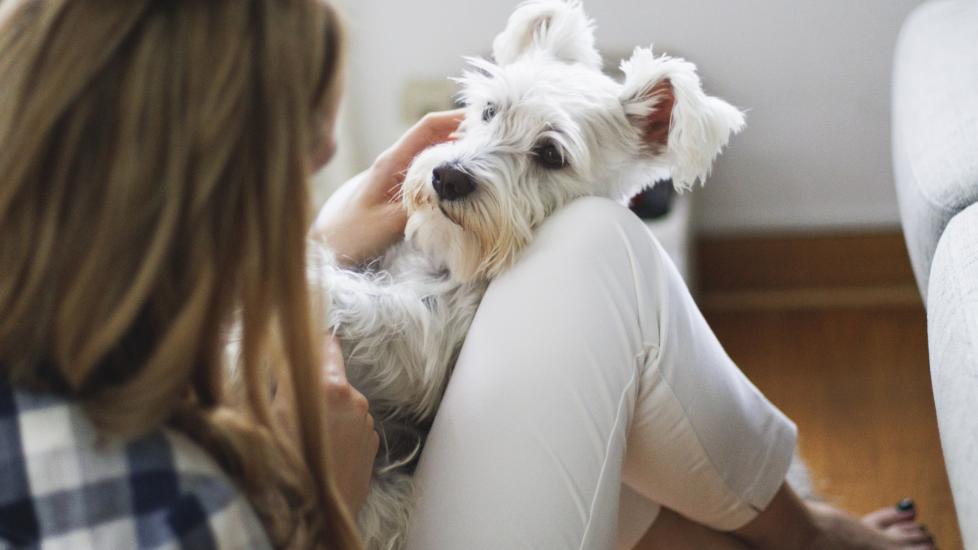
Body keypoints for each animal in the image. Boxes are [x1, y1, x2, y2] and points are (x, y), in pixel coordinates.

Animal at [308, 2, 744, 548]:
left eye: (551, 154)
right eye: (488, 111)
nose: (447, 177)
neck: (450, 256)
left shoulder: (424, 343)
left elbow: (373, 311)